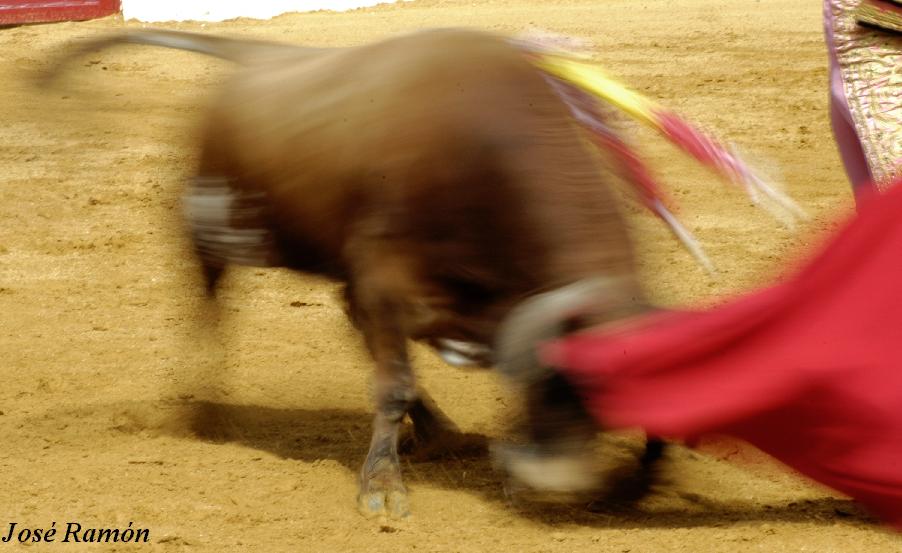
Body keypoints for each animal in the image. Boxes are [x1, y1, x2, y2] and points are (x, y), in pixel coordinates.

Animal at [40, 28, 656, 520]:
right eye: (553, 381)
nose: (559, 488)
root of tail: (256, 56)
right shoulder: (386, 277)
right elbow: (393, 383)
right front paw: (382, 486)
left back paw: (439, 432)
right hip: (209, 234)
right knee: (209, 309)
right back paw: (204, 415)